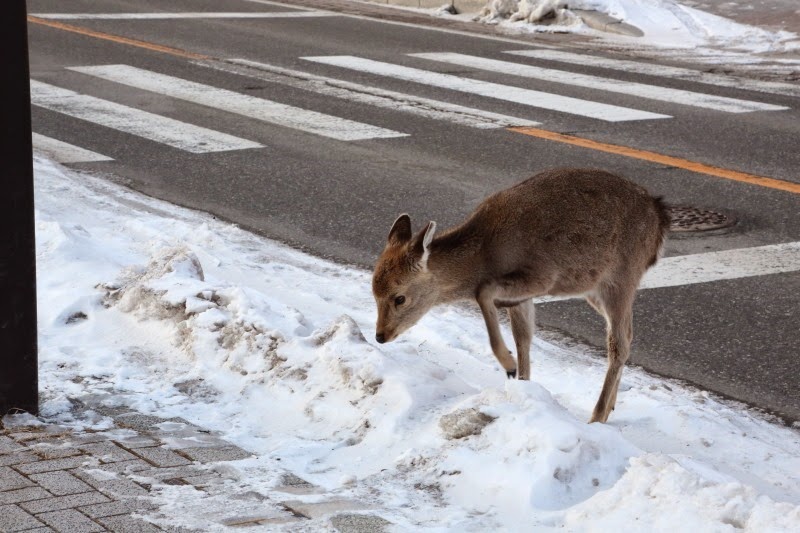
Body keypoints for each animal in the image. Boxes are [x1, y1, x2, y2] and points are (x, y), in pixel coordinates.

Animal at [370, 165, 668, 420]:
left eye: (399, 297)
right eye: (373, 292)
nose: (380, 335)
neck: (485, 256)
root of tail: (659, 217)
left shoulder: (543, 276)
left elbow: (484, 293)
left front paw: (509, 365)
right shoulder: (523, 297)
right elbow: (523, 335)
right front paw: (523, 384)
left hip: (621, 277)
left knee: (619, 343)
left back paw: (598, 415)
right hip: (592, 288)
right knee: (627, 335)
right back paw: (612, 405)